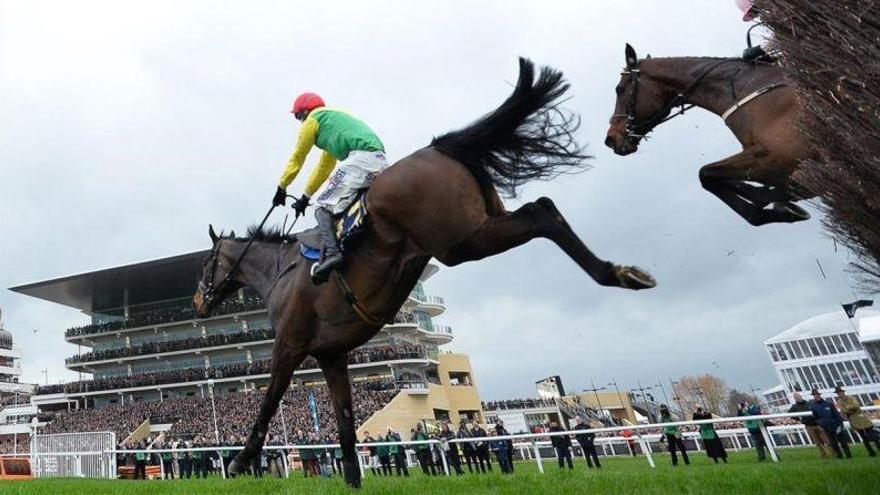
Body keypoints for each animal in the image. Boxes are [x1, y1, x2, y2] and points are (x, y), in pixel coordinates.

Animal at [194, 58, 660, 488]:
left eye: (205, 266)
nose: (198, 302)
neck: (280, 271)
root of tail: (439, 149)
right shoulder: (332, 355)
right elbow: (344, 423)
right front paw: (352, 479)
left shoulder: (289, 346)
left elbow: (269, 401)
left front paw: (239, 461)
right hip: (480, 223)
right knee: (543, 207)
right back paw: (622, 272)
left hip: (461, 241)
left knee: (540, 212)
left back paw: (615, 273)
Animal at [604, 44, 812, 227]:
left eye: (619, 89)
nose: (610, 139)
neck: (747, 87)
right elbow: (710, 176)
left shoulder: (776, 156)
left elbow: (705, 174)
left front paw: (780, 201)